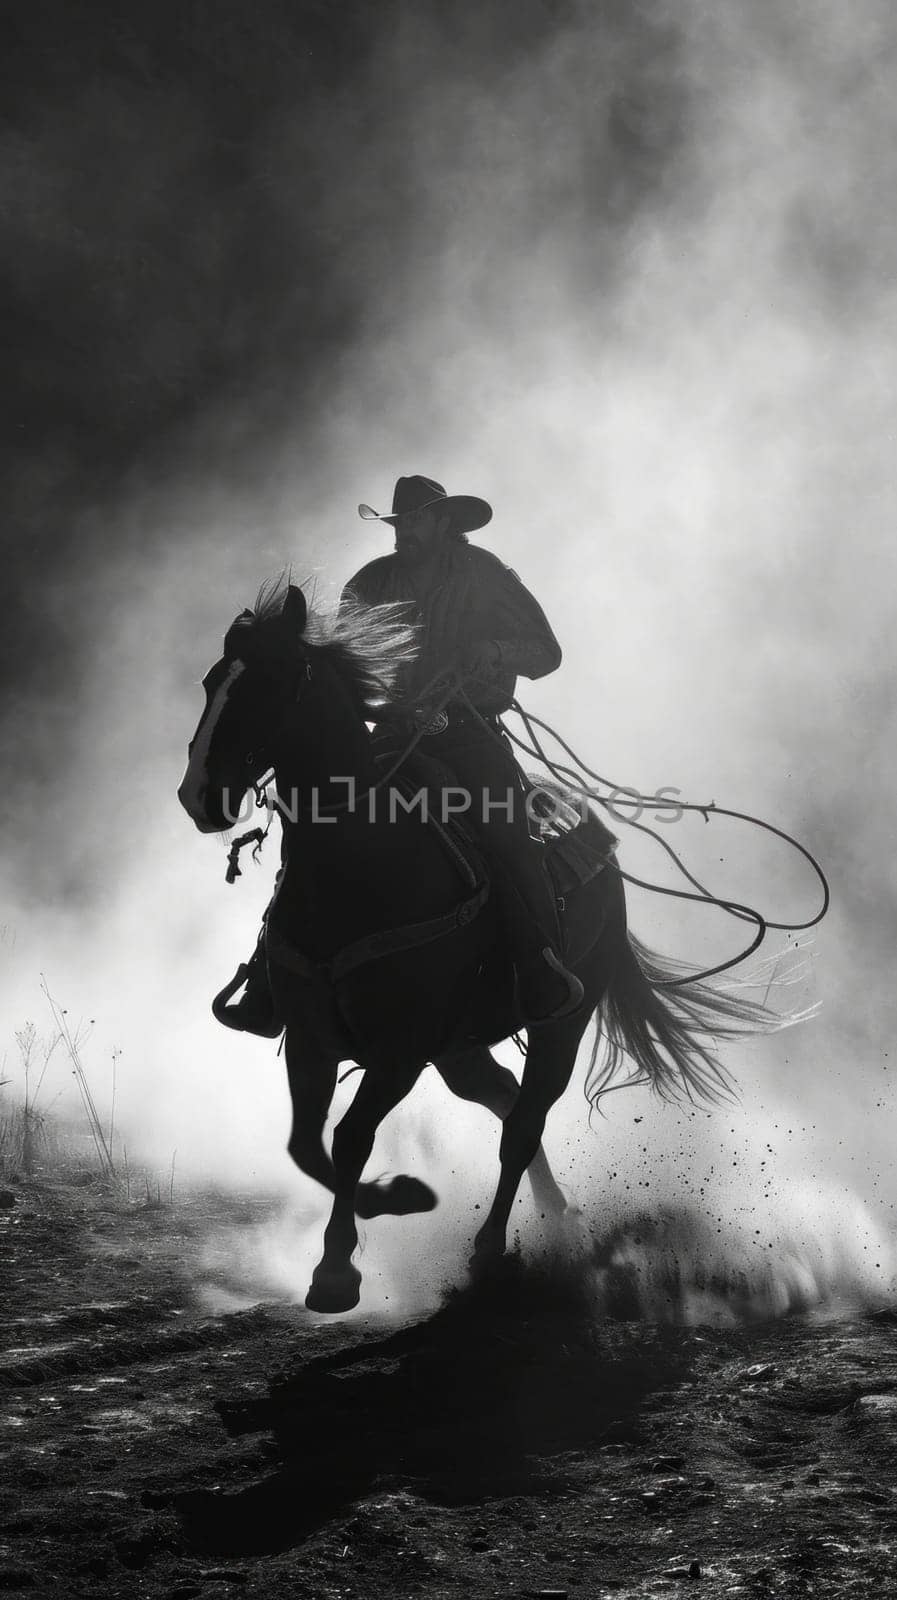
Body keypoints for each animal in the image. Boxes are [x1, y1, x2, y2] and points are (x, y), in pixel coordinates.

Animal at [176, 579, 777, 1312]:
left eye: (273, 683)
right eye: (213, 682)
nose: (199, 796)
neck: (358, 864)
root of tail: (599, 844)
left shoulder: (400, 1051)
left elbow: (349, 1140)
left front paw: (340, 1265)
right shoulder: (314, 1040)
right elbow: (305, 1146)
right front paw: (390, 1203)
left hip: (560, 1024)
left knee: (522, 1124)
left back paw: (493, 1250)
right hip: (460, 1047)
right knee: (503, 1097)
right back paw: (556, 1214)